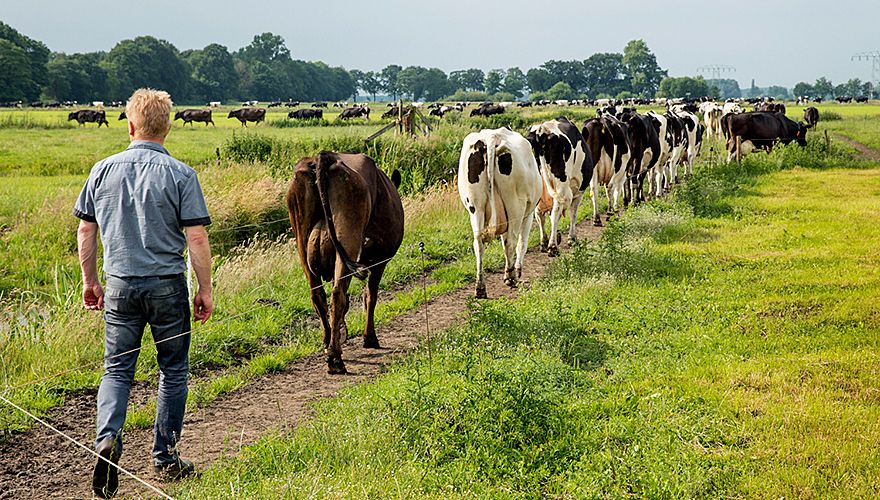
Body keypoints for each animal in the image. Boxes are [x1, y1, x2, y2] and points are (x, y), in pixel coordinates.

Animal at [286, 150, 402, 374]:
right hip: (348, 237)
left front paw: (341, 332)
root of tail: (324, 156)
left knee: (318, 296)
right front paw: (369, 338)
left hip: (301, 241)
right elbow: (370, 296)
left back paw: (327, 342)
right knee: (338, 293)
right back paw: (335, 359)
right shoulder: (380, 261)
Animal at [460, 127, 544, 296]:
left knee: (478, 243)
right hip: (515, 206)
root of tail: (492, 137)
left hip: (475, 207)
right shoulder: (528, 214)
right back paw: (511, 277)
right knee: (511, 242)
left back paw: (480, 287)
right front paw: (516, 270)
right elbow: (522, 243)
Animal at [524, 117, 596, 254]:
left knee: (539, 214)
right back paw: (553, 247)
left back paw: (544, 242)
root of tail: (542, 131)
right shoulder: (579, 192)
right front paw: (572, 238)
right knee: (555, 213)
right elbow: (573, 213)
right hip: (561, 187)